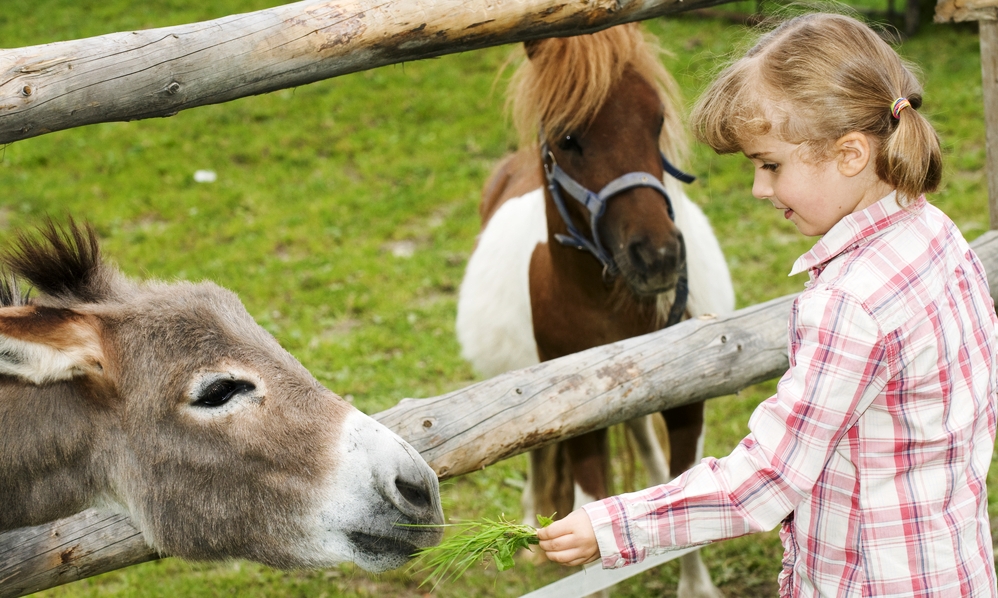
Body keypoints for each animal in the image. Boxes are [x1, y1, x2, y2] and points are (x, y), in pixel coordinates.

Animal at [458, 23, 736, 598]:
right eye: (569, 139)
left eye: (656, 121)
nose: (659, 256)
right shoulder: (576, 419)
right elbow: (586, 506)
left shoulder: (687, 399)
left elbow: (688, 491)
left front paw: (695, 584)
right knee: (537, 454)